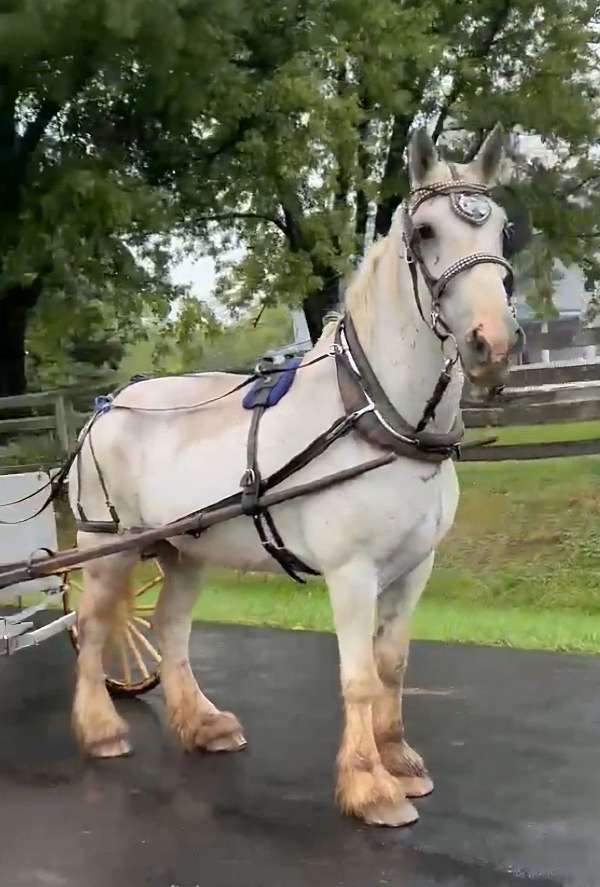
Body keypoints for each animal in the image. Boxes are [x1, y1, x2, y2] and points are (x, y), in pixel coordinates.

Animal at [68, 128, 524, 828]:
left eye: (503, 230)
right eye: (424, 231)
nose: (492, 343)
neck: (374, 414)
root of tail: (108, 405)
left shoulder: (415, 567)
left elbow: (392, 664)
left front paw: (400, 760)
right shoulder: (352, 572)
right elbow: (359, 675)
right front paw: (369, 786)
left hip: (184, 549)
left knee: (170, 626)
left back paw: (202, 723)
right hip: (106, 548)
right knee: (94, 628)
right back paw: (100, 731)